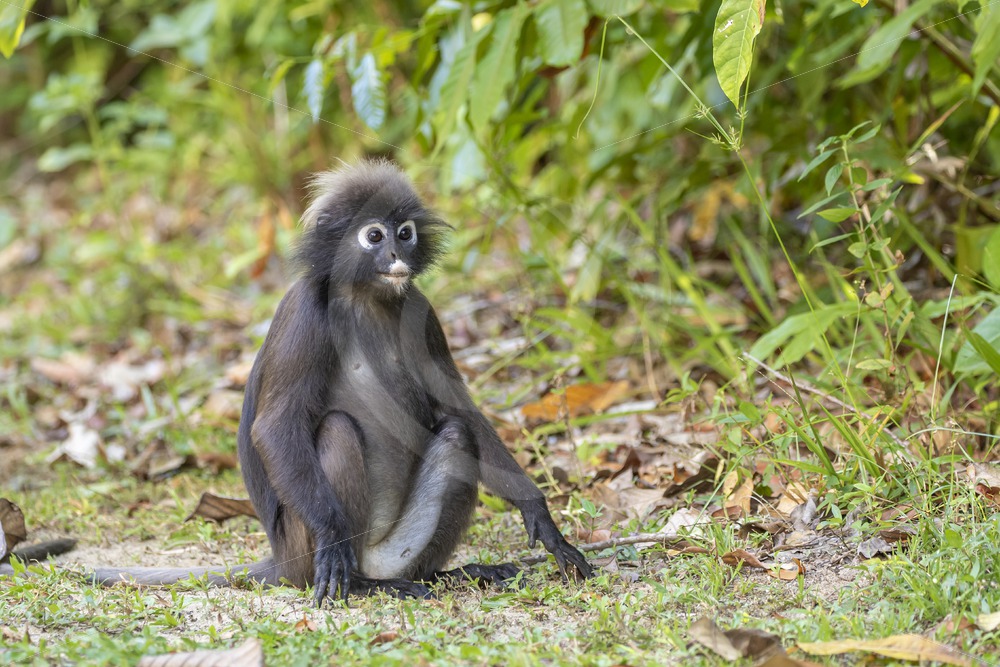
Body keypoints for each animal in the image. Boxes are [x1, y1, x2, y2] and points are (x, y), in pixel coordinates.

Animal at [6, 160, 591, 603]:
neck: (367, 299)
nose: (397, 256)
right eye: (374, 235)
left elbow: (460, 412)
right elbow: (275, 424)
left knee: (455, 436)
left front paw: (541, 516)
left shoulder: (422, 314)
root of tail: (283, 562)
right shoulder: (307, 313)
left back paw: (440, 574)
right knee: (335, 431)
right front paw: (333, 536)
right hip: (303, 546)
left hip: (396, 548)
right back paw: (362, 582)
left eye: (404, 233)